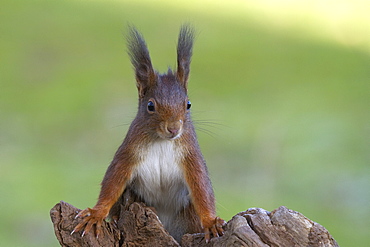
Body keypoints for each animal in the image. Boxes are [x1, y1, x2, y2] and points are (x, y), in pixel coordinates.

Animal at [71, 24, 224, 243]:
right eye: (150, 106)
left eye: (188, 104)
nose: (173, 128)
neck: (161, 141)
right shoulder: (128, 154)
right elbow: (112, 184)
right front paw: (96, 214)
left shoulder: (191, 157)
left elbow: (202, 188)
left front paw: (211, 222)